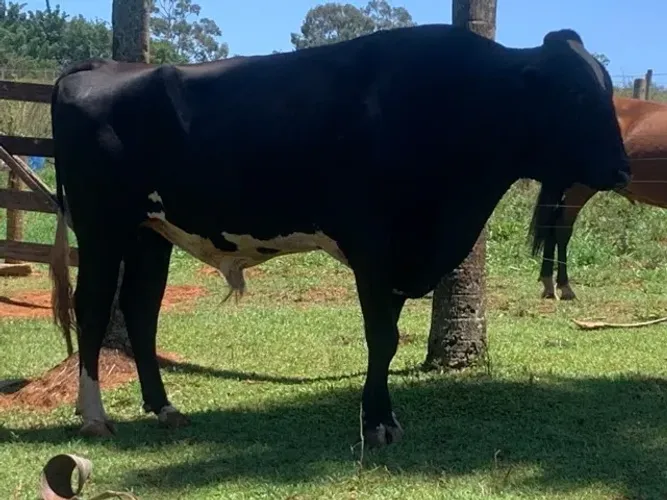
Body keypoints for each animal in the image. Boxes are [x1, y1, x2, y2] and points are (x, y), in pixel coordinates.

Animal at [48, 24, 630, 448]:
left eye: (606, 88)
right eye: (575, 94)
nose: (623, 170)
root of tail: (102, 66)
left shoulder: (401, 256)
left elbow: (388, 336)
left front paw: (381, 417)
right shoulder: (374, 245)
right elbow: (382, 337)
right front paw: (378, 424)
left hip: (152, 231)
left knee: (140, 311)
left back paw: (165, 408)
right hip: (102, 227)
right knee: (93, 307)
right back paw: (94, 417)